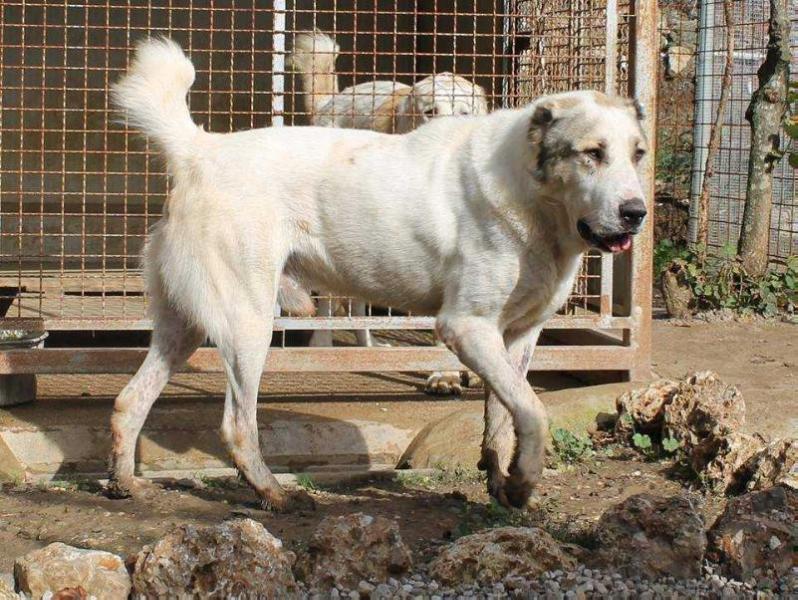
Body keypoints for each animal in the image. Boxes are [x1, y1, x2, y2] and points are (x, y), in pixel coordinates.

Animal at [108, 39, 648, 512]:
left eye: (638, 154)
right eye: (592, 153)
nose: (637, 213)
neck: (529, 195)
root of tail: (201, 149)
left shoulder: (518, 336)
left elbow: (503, 416)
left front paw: (504, 482)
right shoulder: (466, 328)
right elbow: (534, 411)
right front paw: (523, 481)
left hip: (184, 326)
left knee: (128, 401)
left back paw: (123, 484)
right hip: (248, 325)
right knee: (237, 425)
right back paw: (274, 494)